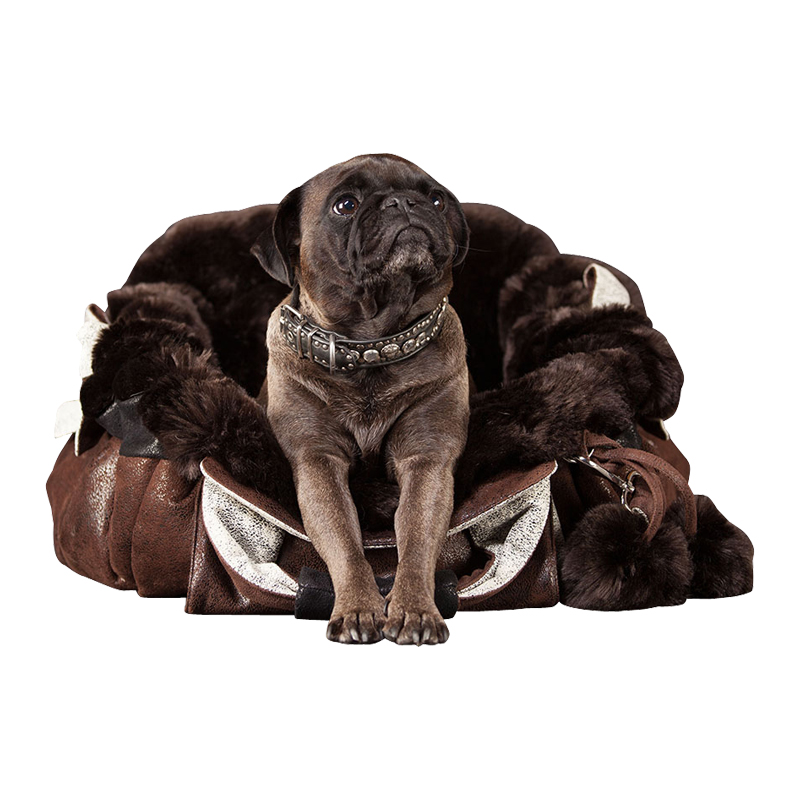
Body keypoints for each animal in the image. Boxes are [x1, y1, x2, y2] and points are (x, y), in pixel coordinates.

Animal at [251, 154, 471, 644]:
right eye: (345, 205)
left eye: (435, 199)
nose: (403, 202)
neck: (372, 347)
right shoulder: (318, 464)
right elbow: (345, 541)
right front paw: (357, 607)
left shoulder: (426, 461)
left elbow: (416, 538)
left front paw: (413, 608)